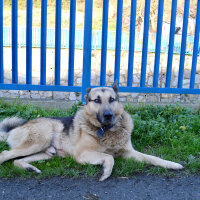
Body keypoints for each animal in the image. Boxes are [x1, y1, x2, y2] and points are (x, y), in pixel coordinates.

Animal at [0, 81, 184, 181]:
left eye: (112, 99)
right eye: (97, 100)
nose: (108, 115)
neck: (107, 130)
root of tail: (14, 129)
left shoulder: (129, 153)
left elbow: (154, 158)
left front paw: (172, 164)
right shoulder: (82, 155)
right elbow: (109, 157)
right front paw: (105, 171)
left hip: (47, 153)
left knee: (17, 160)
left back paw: (30, 169)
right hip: (39, 140)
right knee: (5, 154)